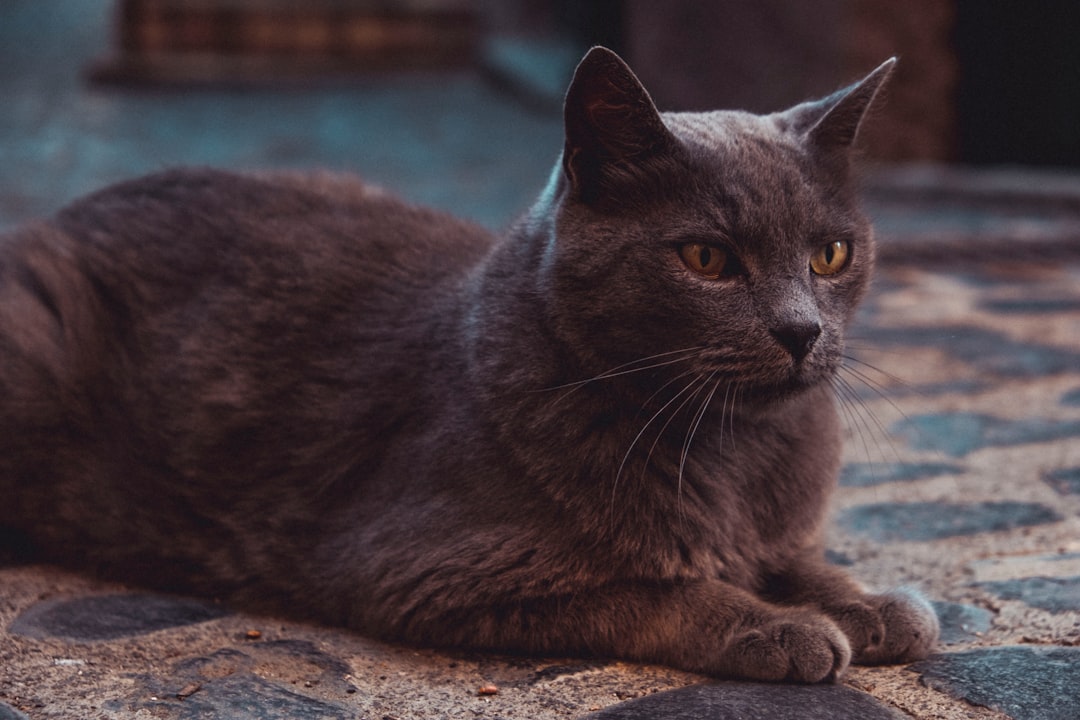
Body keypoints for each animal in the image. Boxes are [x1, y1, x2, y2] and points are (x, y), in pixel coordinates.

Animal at [0, 49, 937, 682]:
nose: (801, 330)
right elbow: (655, 590)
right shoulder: (429, 573)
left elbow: (797, 556)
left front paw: (872, 604)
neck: (732, 449)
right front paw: (778, 628)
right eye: (706, 258)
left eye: (831, 254)